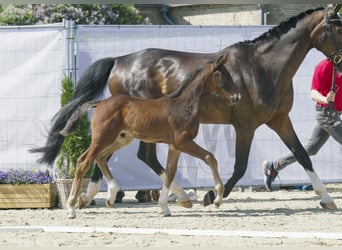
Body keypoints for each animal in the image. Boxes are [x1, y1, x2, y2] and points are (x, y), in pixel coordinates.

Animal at [60, 55, 240, 218]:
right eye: (223, 75)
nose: (237, 96)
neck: (184, 105)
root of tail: (99, 103)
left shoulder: (174, 146)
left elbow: (170, 172)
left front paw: (166, 207)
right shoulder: (183, 142)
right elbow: (210, 158)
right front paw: (217, 199)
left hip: (122, 138)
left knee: (101, 157)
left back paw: (110, 196)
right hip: (103, 138)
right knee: (83, 161)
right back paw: (71, 208)